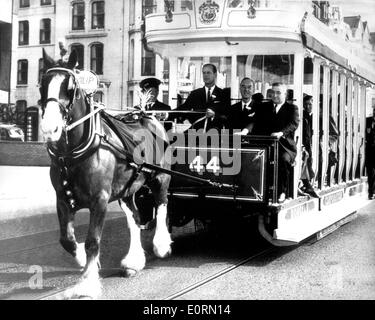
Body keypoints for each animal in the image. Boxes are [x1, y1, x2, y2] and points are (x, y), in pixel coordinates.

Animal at [39, 48, 172, 298]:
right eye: (42, 84)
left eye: (70, 88)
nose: (49, 129)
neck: (72, 154)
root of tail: (146, 115)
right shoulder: (62, 199)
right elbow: (67, 240)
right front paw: (84, 261)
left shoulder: (99, 200)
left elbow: (93, 240)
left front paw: (88, 283)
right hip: (127, 189)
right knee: (135, 218)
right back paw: (133, 261)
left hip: (161, 178)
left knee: (161, 205)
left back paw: (161, 245)